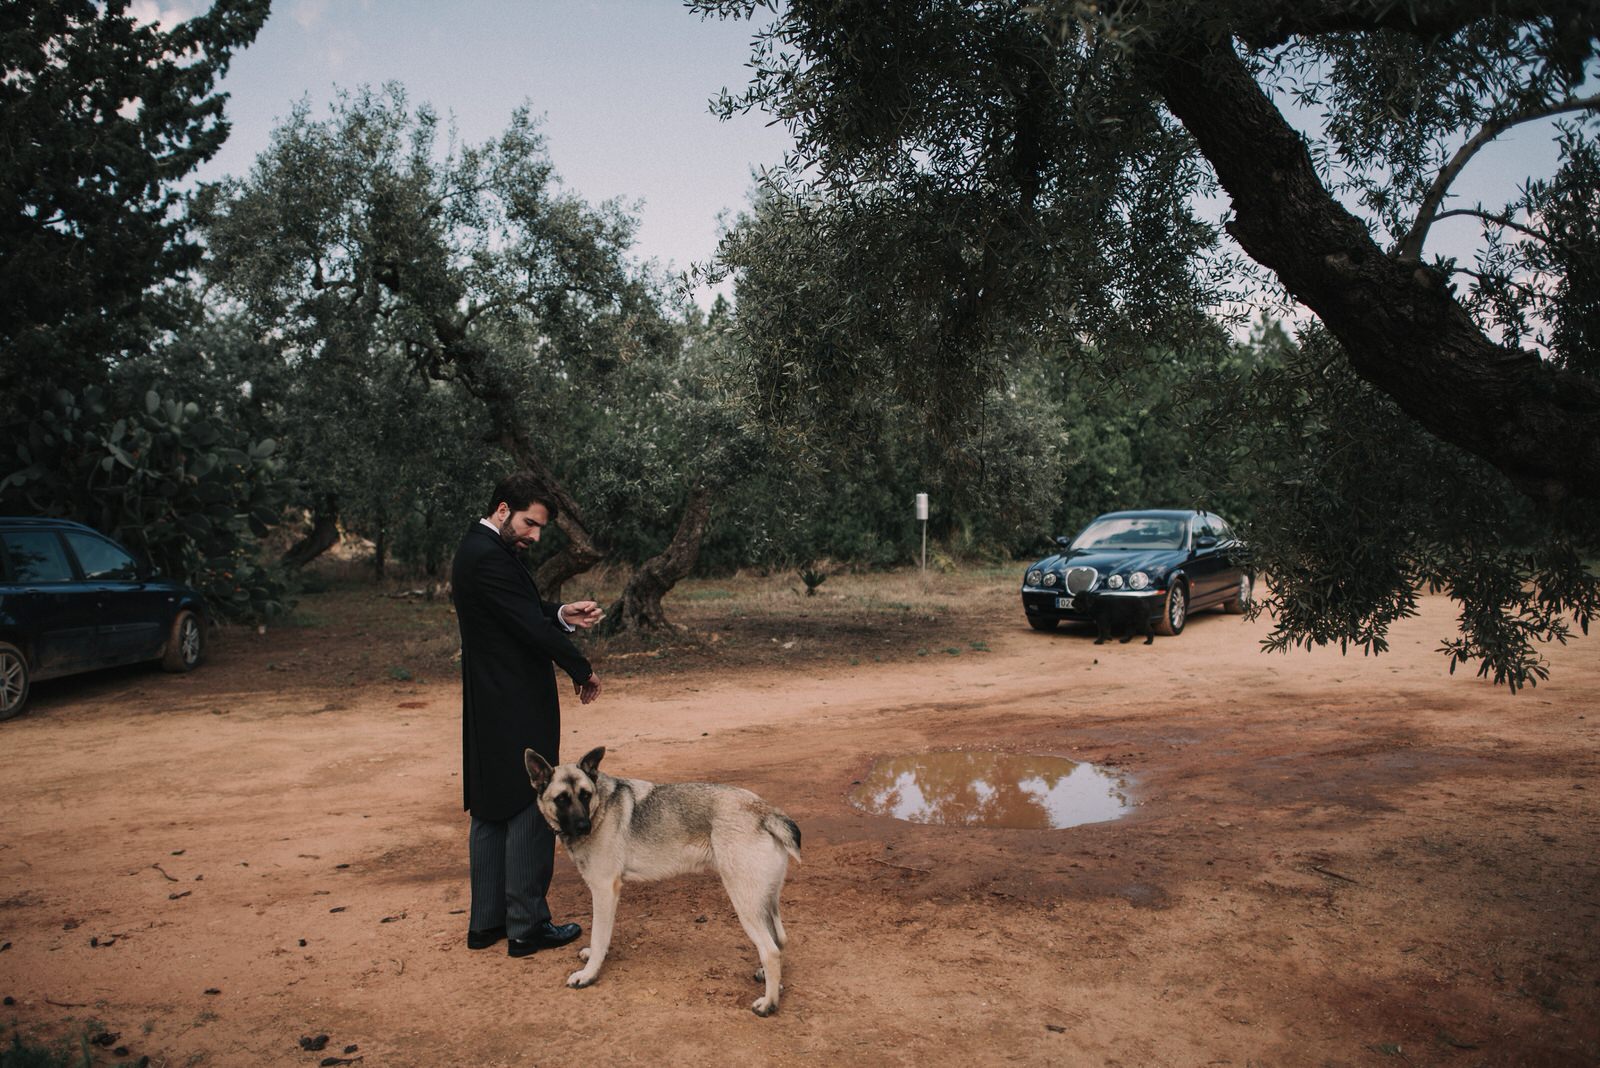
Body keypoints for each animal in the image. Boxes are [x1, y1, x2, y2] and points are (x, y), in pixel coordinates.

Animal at [524, 748, 800, 1016]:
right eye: (561, 799)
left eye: (585, 795)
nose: (584, 826)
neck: (600, 806)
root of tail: (765, 811)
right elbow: (602, 936)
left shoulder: (603, 891)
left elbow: (599, 936)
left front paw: (589, 974)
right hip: (765, 901)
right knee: (779, 939)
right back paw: (770, 980)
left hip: (745, 903)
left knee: (771, 951)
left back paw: (768, 1003)